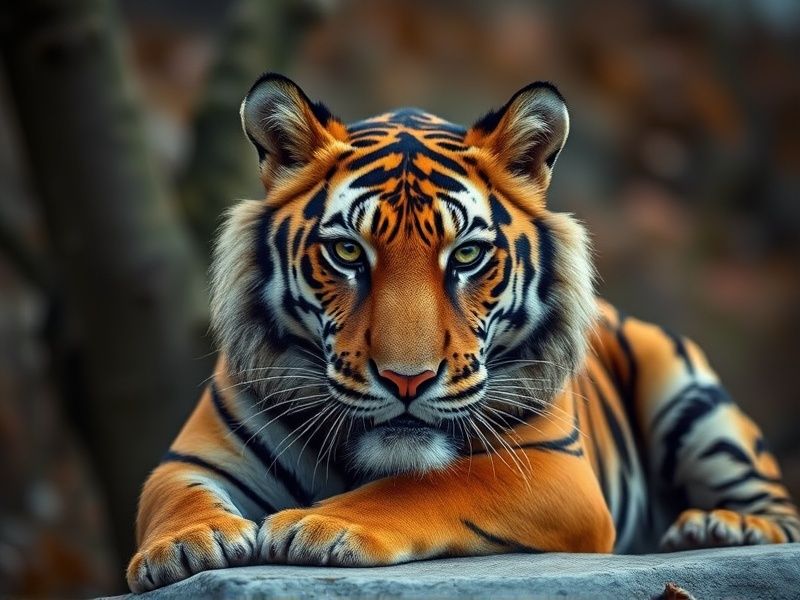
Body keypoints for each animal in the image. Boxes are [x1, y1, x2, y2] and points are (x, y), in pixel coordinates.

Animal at [126, 73, 800, 592]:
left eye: (468, 256)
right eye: (347, 252)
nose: (407, 381)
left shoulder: (550, 467)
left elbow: (430, 485)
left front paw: (319, 525)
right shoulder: (191, 456)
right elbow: (173, 498)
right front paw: (185, 546)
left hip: (689, 392)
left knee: (781, 508)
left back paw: (719, 526)